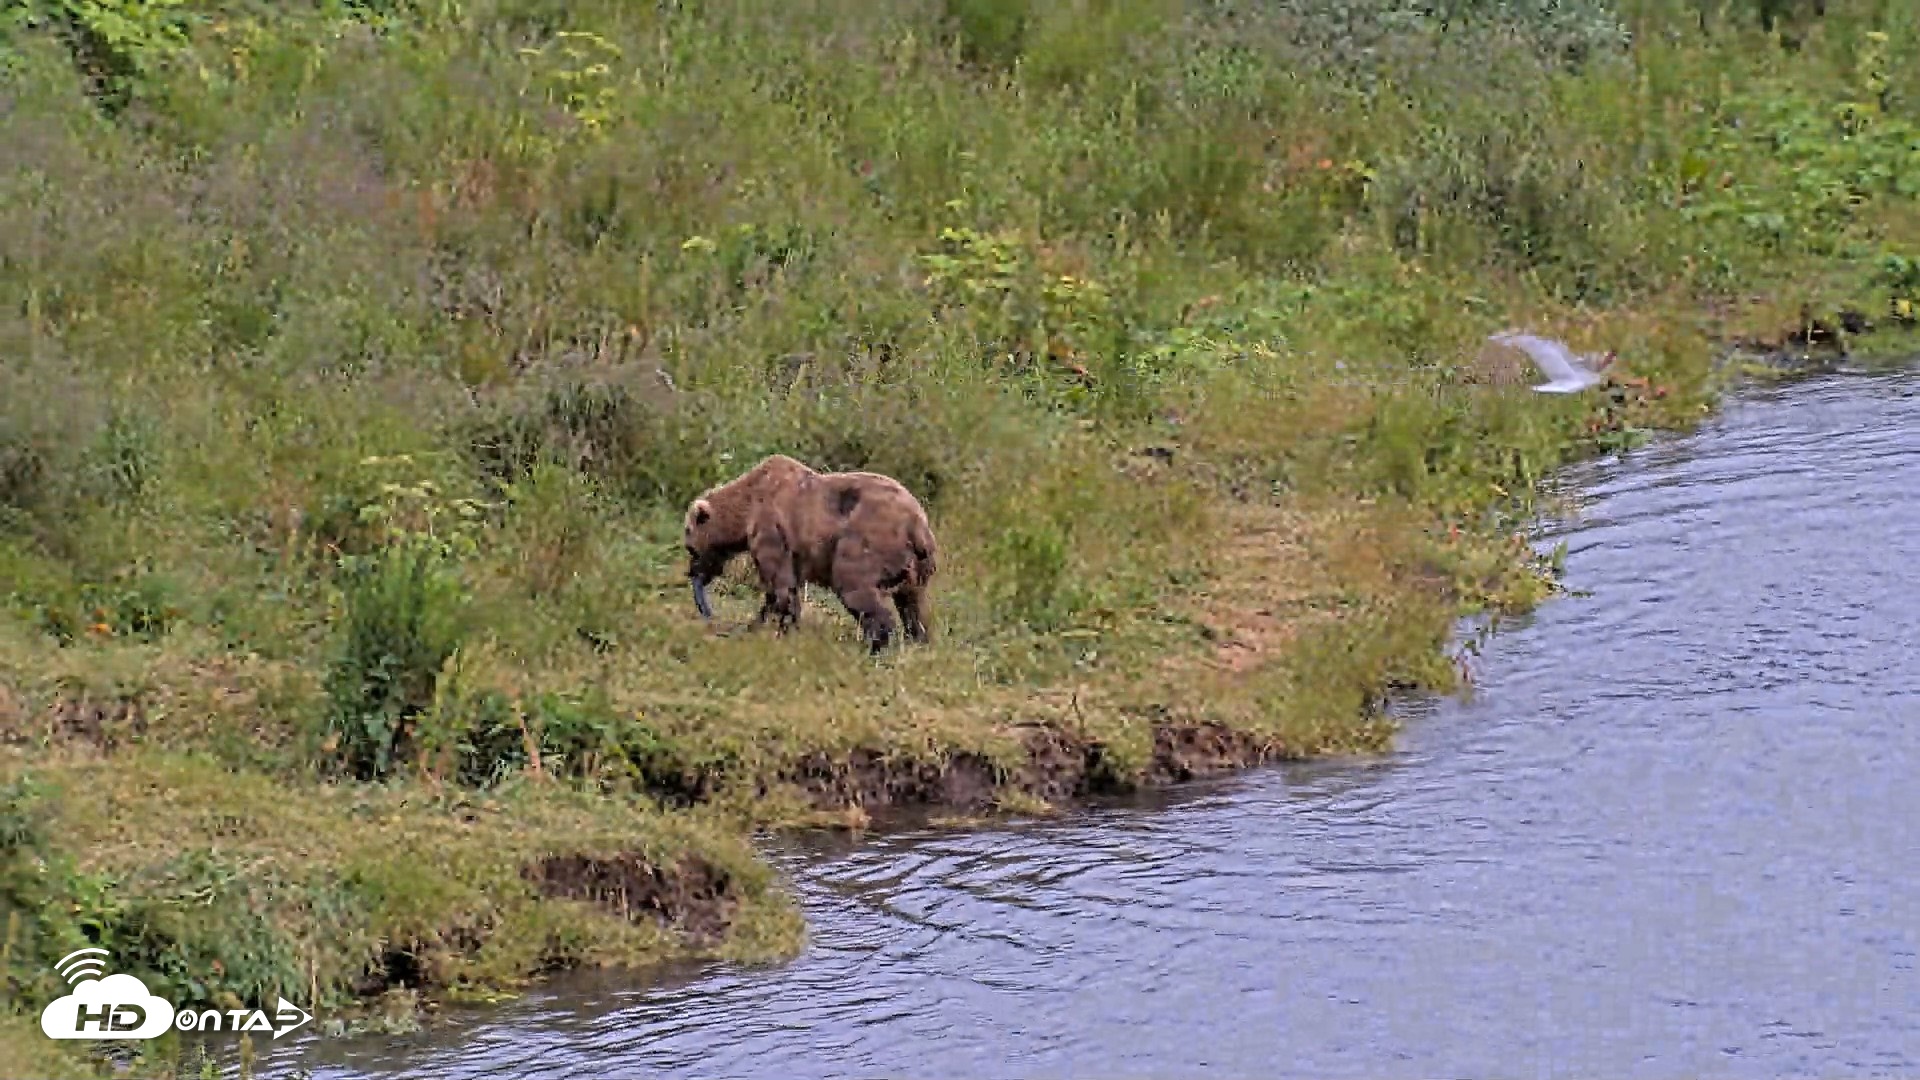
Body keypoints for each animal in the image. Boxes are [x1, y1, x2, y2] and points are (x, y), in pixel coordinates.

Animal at [682, 453, 939, 654]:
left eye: (690, 547)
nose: (692, 572)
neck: (745, 509)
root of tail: (917, 524)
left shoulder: (772, 530)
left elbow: (779, 586)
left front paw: (772, 628)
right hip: (915, 565)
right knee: (913, 605)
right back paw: (917, 640)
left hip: (867, 541)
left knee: (856, 587)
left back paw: (875, 645)